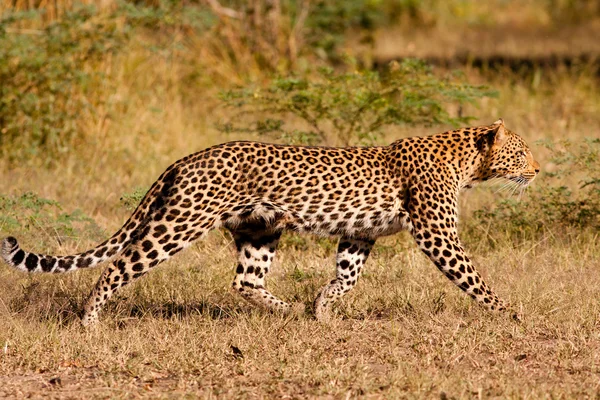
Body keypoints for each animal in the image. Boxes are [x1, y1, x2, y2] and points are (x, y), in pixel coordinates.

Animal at [1, 119, 544, 324]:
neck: (468, 164)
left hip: (260, 228)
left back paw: (289, 311)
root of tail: (186, 158)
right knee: (120, 265)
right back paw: (90, 321)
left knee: (245, 281)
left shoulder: (360, 232)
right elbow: (474, 278)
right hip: (179, 224)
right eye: (521, 152)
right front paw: (511, 314)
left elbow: (346, 277)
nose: (538, 170)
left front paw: (322, 311)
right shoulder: (436, 233)